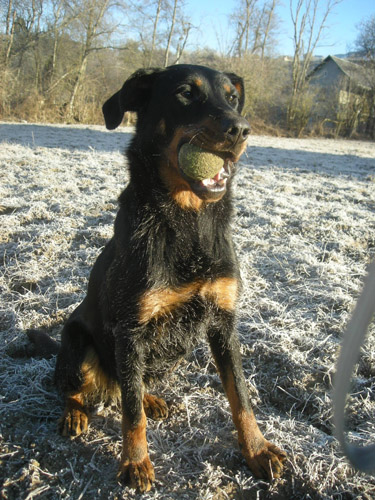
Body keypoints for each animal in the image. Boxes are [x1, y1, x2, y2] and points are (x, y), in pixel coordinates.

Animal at [30, 64, 286, 490]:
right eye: (185, 93)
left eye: (232, 97)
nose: (240, 129)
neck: (188, 223)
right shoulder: (131, 330)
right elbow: (131, 416)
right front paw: (135, 462)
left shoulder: (223, 321)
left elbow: (241, 396)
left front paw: (257, 450)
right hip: (79, 346)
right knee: (82, 389)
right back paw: (75, 413)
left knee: (128, 387)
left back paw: (150, 399)